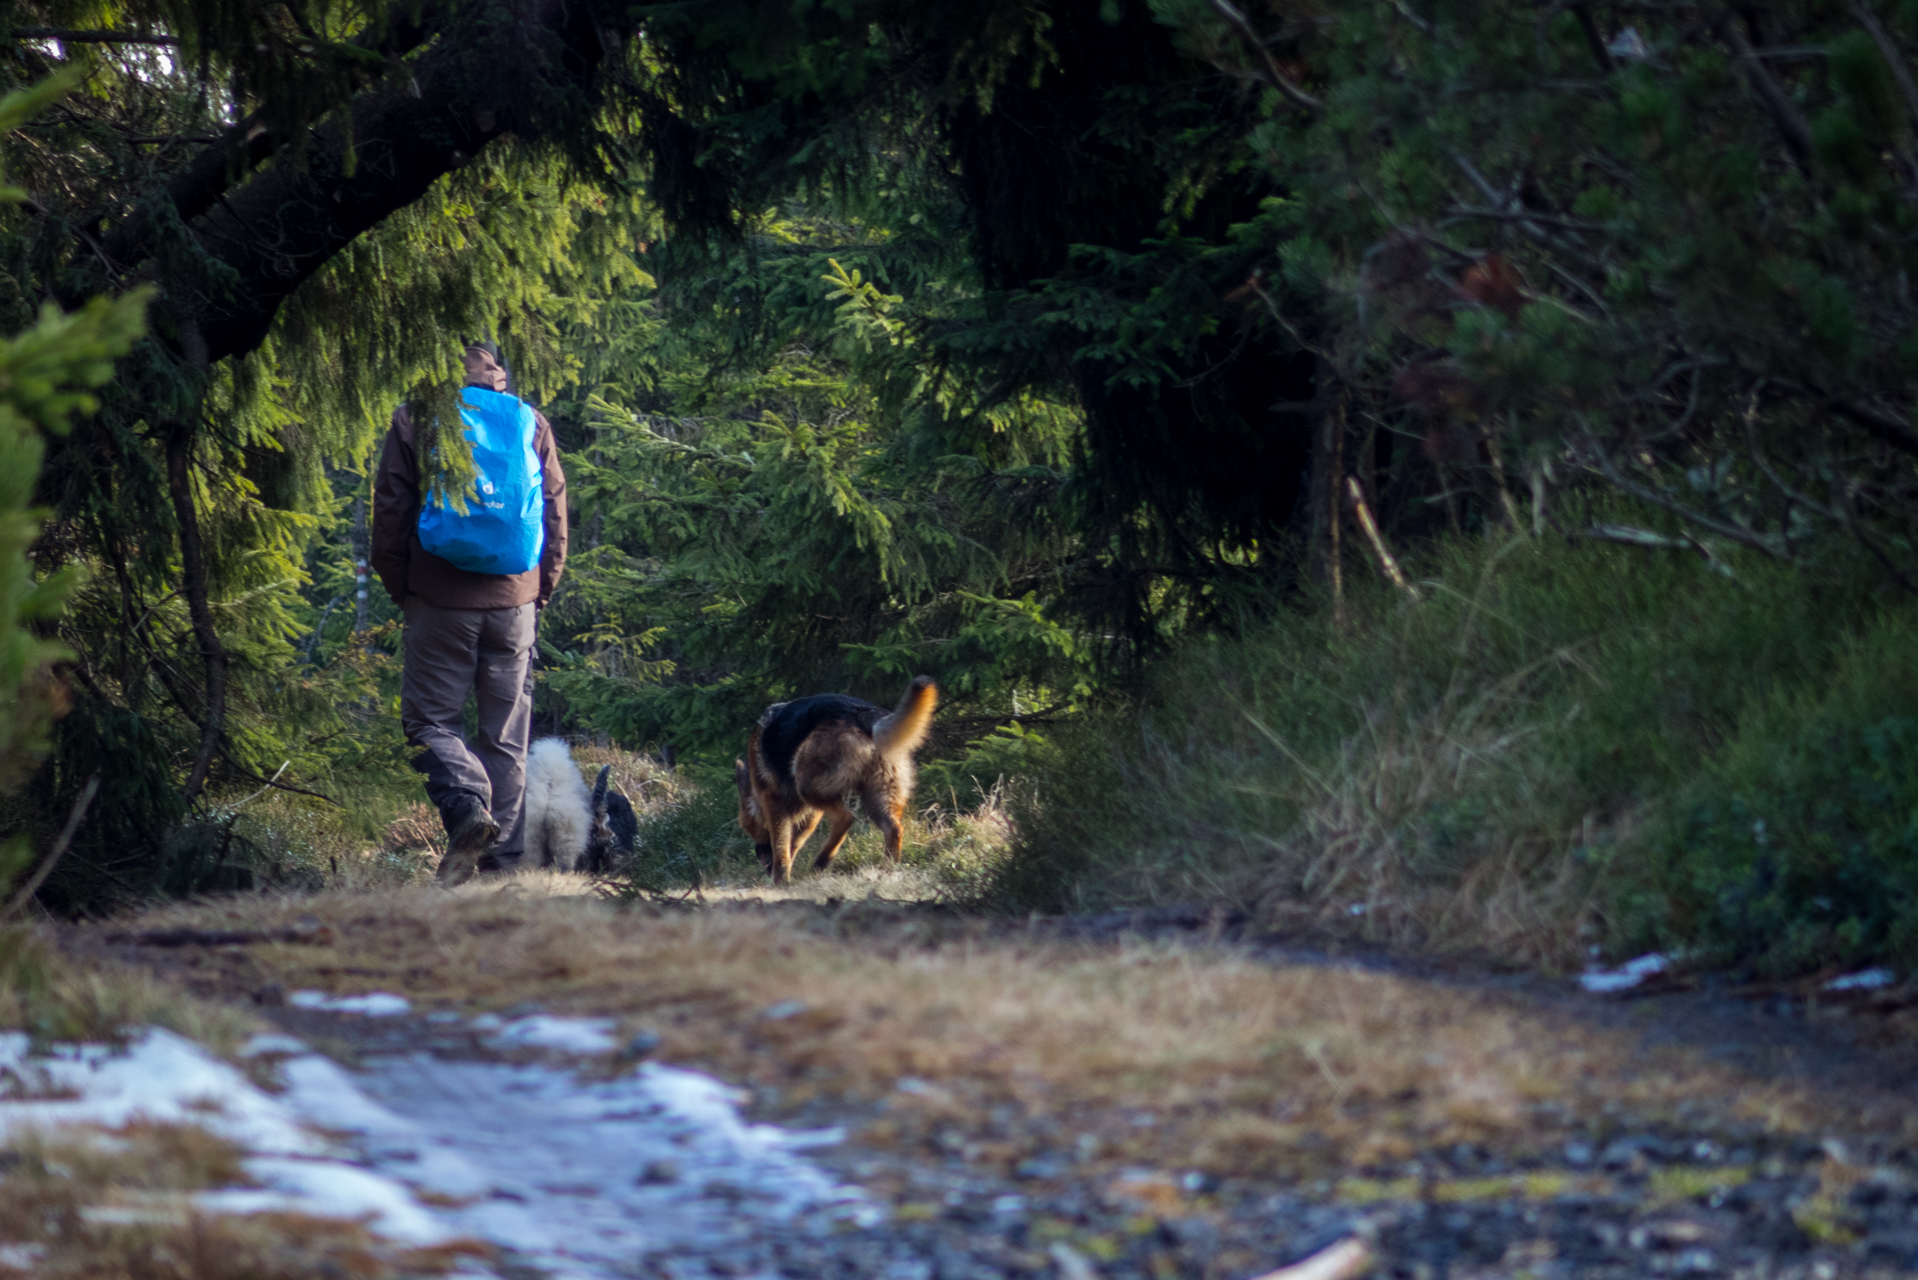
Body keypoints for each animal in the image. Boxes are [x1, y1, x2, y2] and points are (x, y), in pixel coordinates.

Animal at [732, 679, 935, 882]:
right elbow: (795, 843)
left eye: (749, 828)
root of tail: (864, 716)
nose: (759, 854)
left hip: (806, 785)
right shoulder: (811, 812)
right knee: (893, 829)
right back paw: (884, 869)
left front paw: (780, 880)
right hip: (876, 798)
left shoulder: (775, 803)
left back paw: (822, 861)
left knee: (846, 817)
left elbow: (781, 848)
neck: (755, 793)